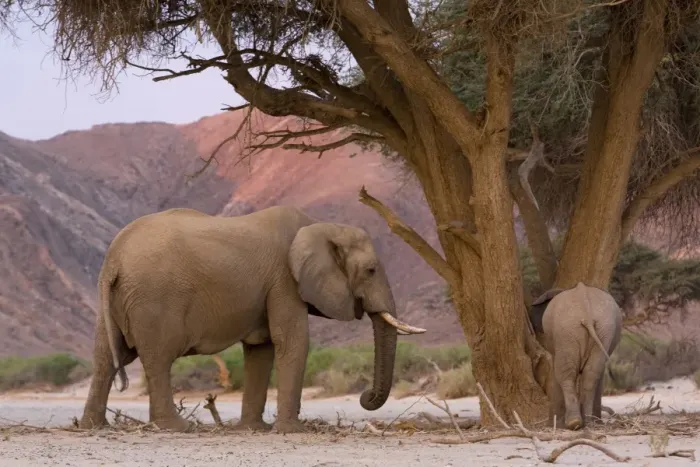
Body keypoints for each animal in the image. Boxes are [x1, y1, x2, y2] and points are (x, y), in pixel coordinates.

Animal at [78, 205, 426, 433]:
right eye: (370, 270)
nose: (366, 396)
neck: (321, 226)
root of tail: (113, 259)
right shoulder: (285, 280)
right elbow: (293, 340)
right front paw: (291, 431)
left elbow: (262, 348)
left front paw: (254, 428)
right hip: (153, 298)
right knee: (159, 358)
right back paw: (177, 427)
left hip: (115, 300)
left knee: (105, 358)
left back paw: (93, 426)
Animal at [528, 282, 622, 430]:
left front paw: (555, 425)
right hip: (603, 331)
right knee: (591, 375)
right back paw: (589, 422)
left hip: (566, 332)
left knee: (565, 375)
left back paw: (574, 423)